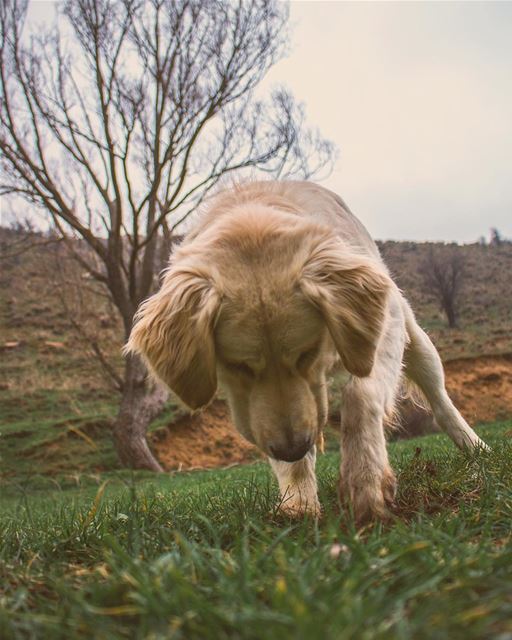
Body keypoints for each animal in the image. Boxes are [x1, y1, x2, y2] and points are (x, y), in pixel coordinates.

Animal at [126, 179, 486, 520]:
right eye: (238, 366)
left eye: (307, 353)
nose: (292, 450)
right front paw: (298, 500)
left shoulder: (384, 329)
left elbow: (361, 395)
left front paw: (365, 479)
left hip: (417, 342)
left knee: (440, 401)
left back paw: (476, 447)